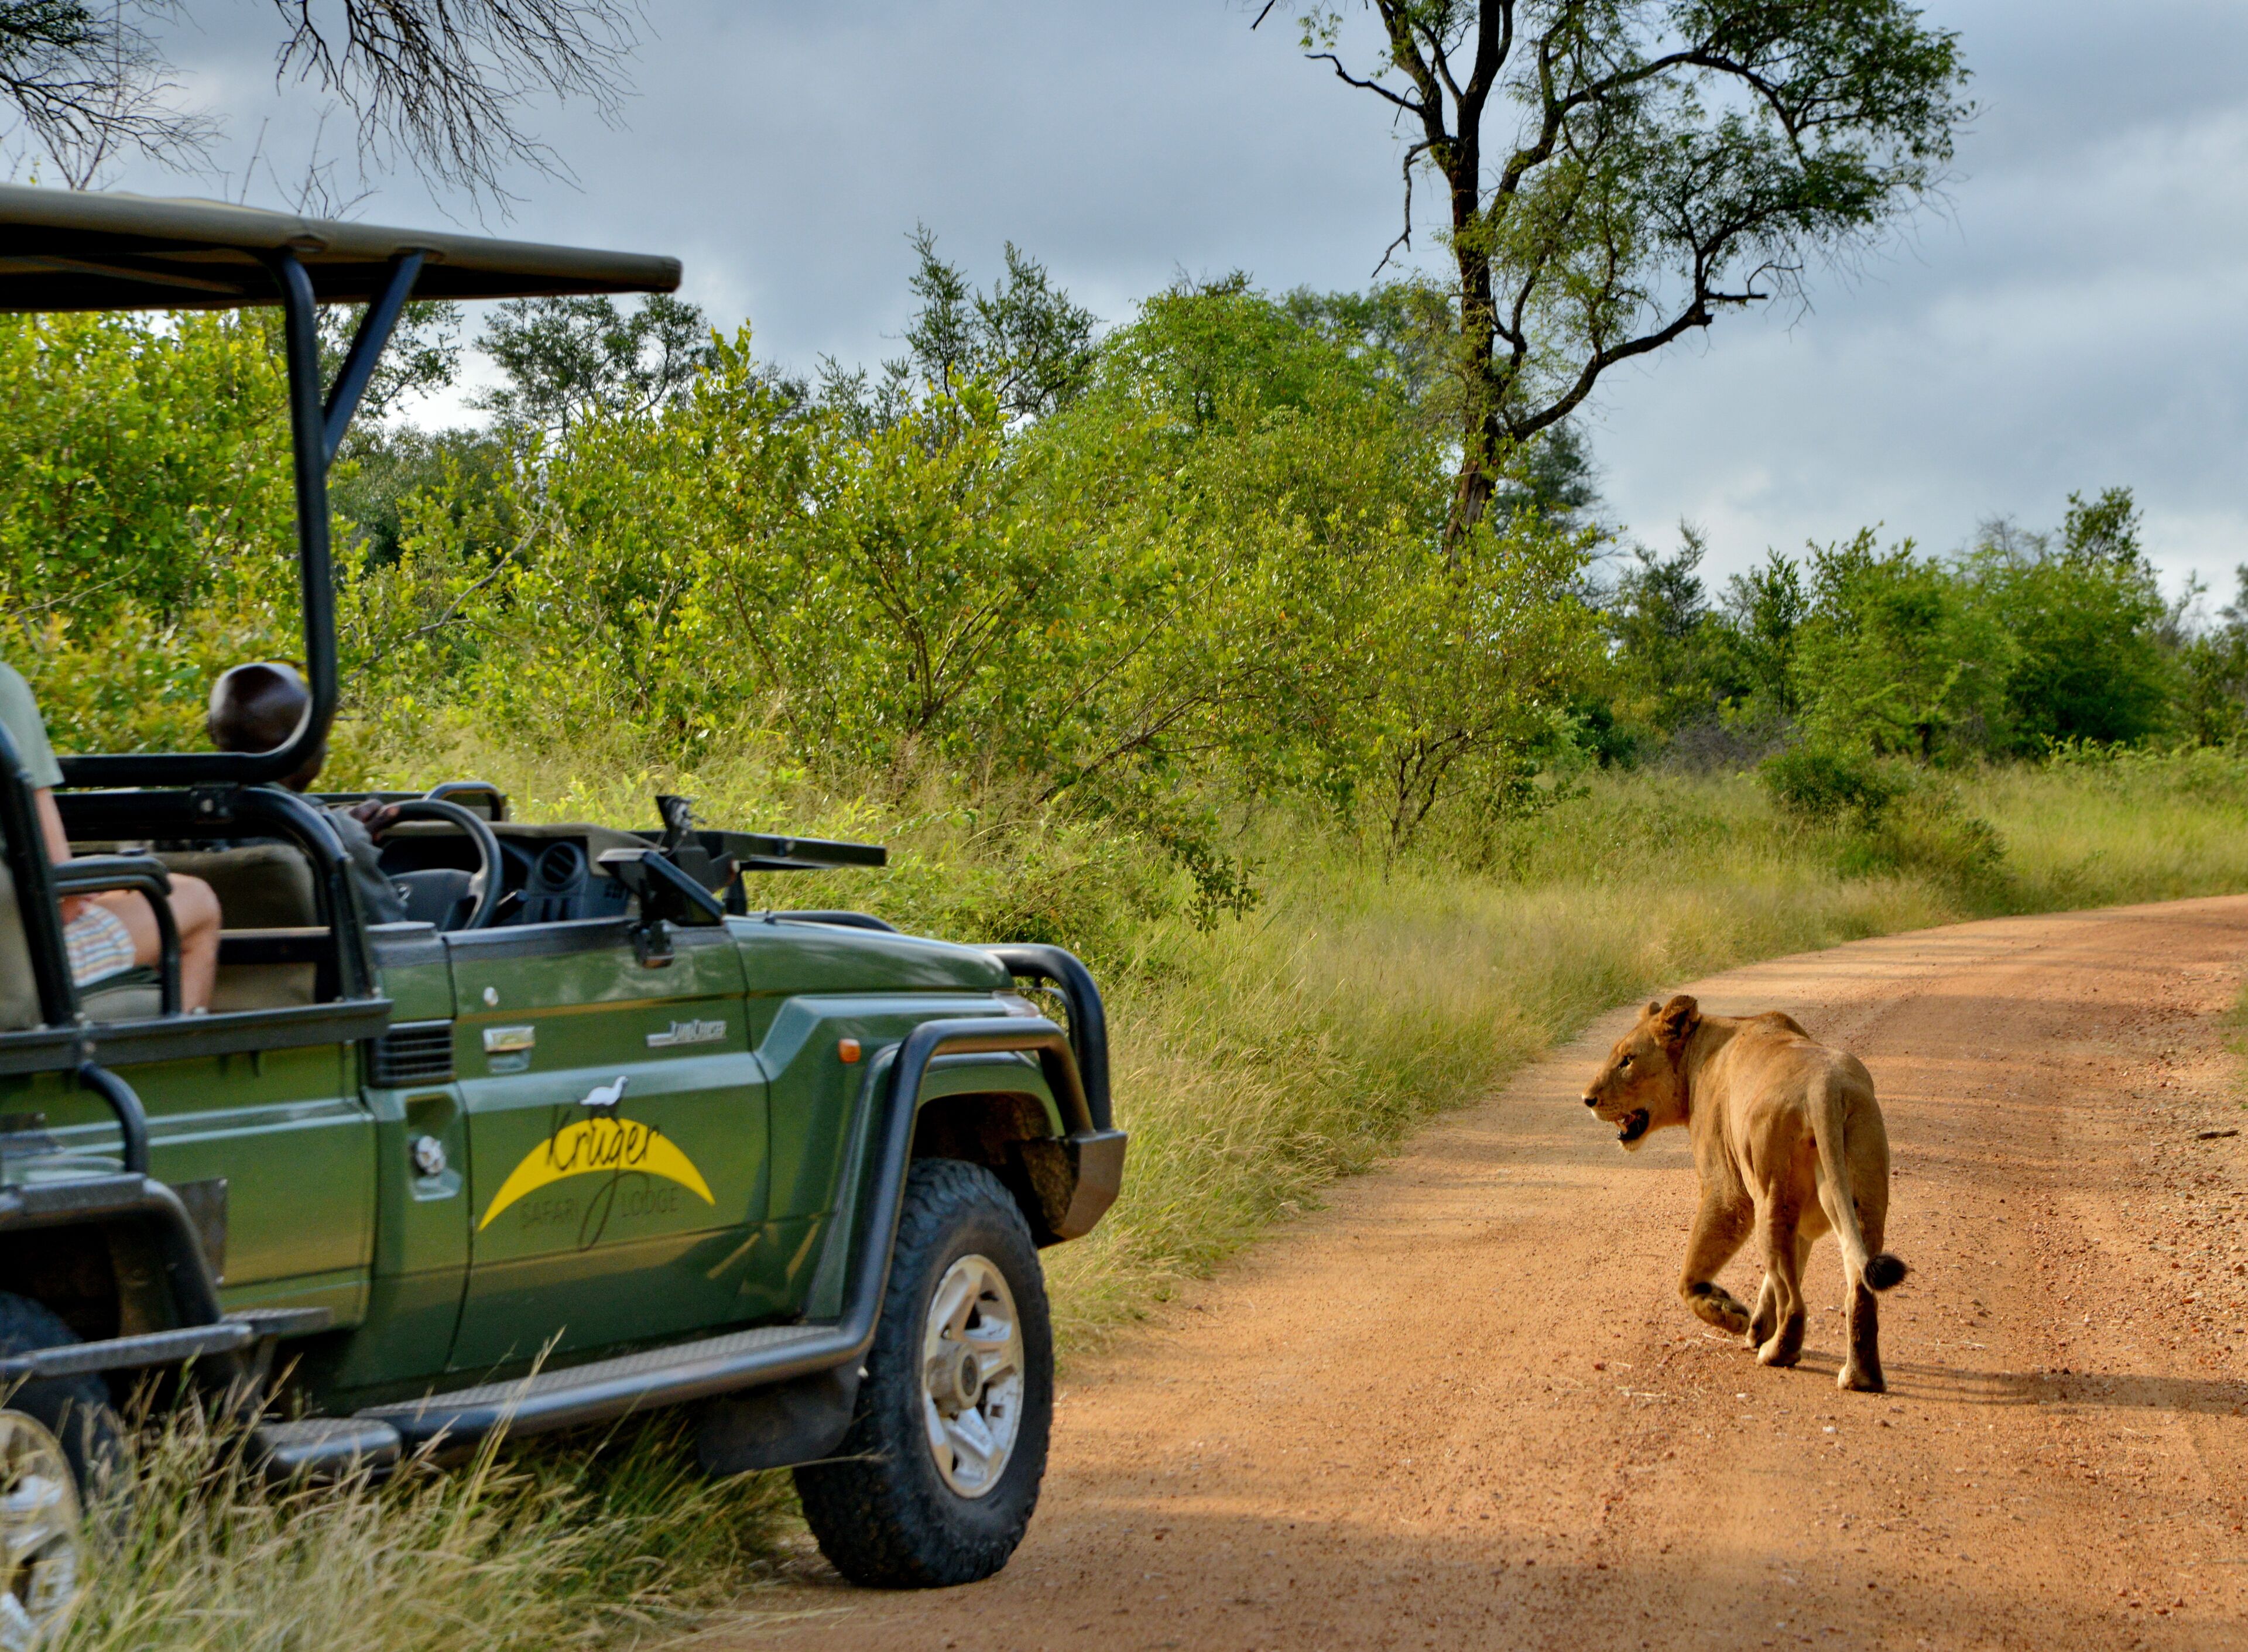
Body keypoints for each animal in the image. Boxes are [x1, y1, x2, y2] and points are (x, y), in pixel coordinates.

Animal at [1579, 995, 1908, 1392]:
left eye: (1627, 1059)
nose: (1587, 1099)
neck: (1698, 1051)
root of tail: (1825, 1088)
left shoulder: (1726, 1188)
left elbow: (1690, 1273)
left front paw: (1727, 1312)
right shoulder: (1804, 1217)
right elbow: (1781, 1273)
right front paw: (1753, 1326)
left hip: (1771, 1192)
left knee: (1794, 1302)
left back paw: (1778, 1354)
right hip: (1859, 1196)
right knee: (1858, 1288)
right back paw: (1861, 1377)